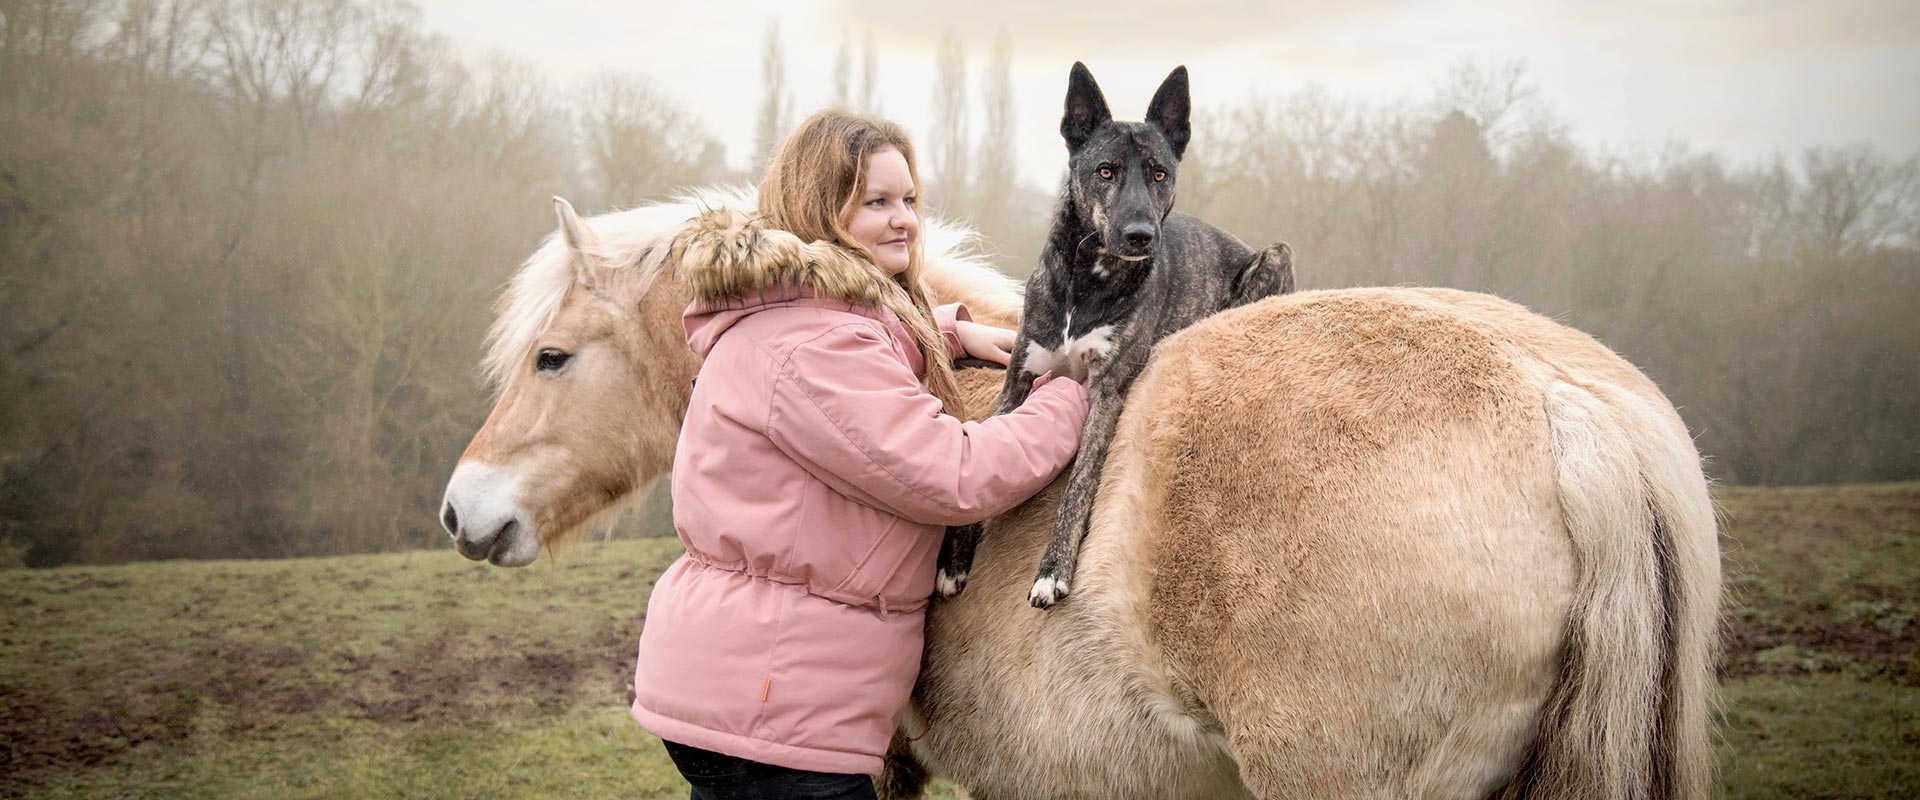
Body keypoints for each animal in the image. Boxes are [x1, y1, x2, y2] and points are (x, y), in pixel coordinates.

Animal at [936, 62, 1297, 606]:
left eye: (1159, 173)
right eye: (1105, 171)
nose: (1141, 235)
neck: (1089, 277)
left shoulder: (1105, 392)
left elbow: (1079, 484)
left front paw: (1053, 569)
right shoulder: (1018, 381)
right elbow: (985, 453)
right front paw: (953, 560)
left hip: (1277, 254)